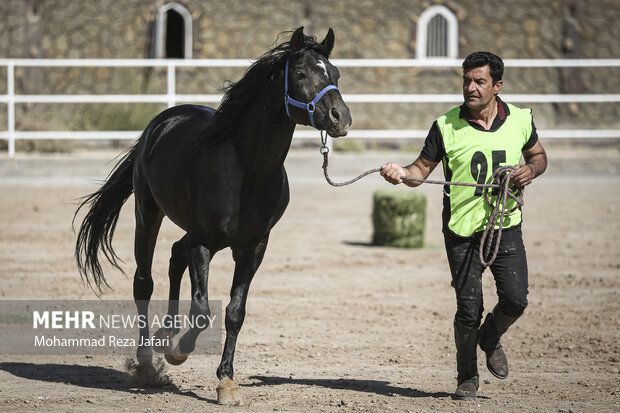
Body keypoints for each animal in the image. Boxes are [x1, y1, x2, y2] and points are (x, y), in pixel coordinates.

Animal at [75, 27, 352, 404]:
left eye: (334, 73)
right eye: (300, 74)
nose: (341, 118)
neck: (246, 170)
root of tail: (161, 123)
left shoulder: (253, 247)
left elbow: (235, 312)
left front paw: (226, 381)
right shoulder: (204, 243)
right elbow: (203, 311)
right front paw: (178, 353)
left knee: (175, 255)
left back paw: (166, 334)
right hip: (149, 213)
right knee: (144, 282)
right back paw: (148, 361)